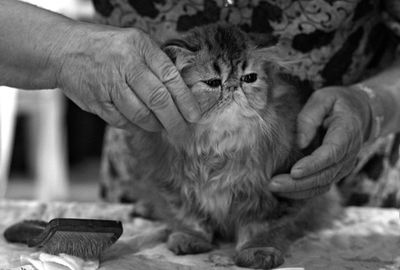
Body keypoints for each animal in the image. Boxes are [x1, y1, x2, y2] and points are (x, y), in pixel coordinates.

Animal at [101, 24, 340, 268]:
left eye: (249, 78)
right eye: (213, 83)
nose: (233, 87)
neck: (218, 145)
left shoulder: (272, 193)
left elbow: (261, 228)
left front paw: (258, 252)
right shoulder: (174, 184)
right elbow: (189, 218)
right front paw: (190, 239)